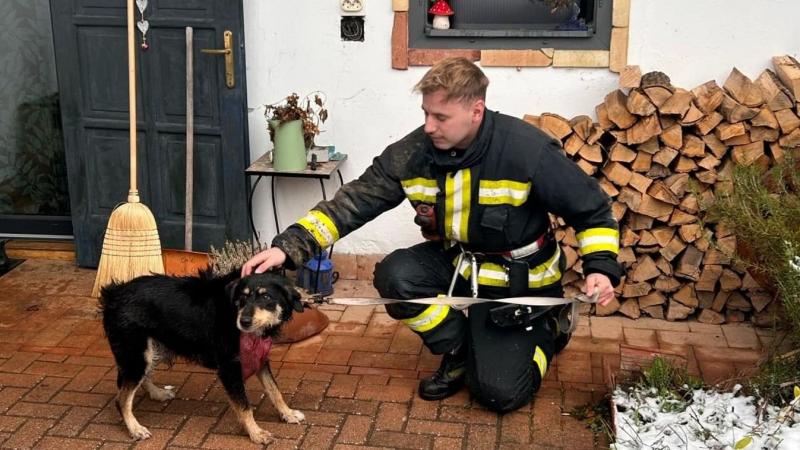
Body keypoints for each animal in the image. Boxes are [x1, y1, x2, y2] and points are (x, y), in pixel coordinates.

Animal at [100, 268, 306, 444]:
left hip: (150, 352)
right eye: (242, 298)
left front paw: (287, 413)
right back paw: (135, 428)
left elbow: (274, 390)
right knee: (121, 399)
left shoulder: (260, 360)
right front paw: (256, 433)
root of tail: (114, 293)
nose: (244, 322)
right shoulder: (229, 368)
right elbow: (244, 406)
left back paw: (157, 393)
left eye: (266, 296)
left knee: (140, 380)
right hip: (137, 355)